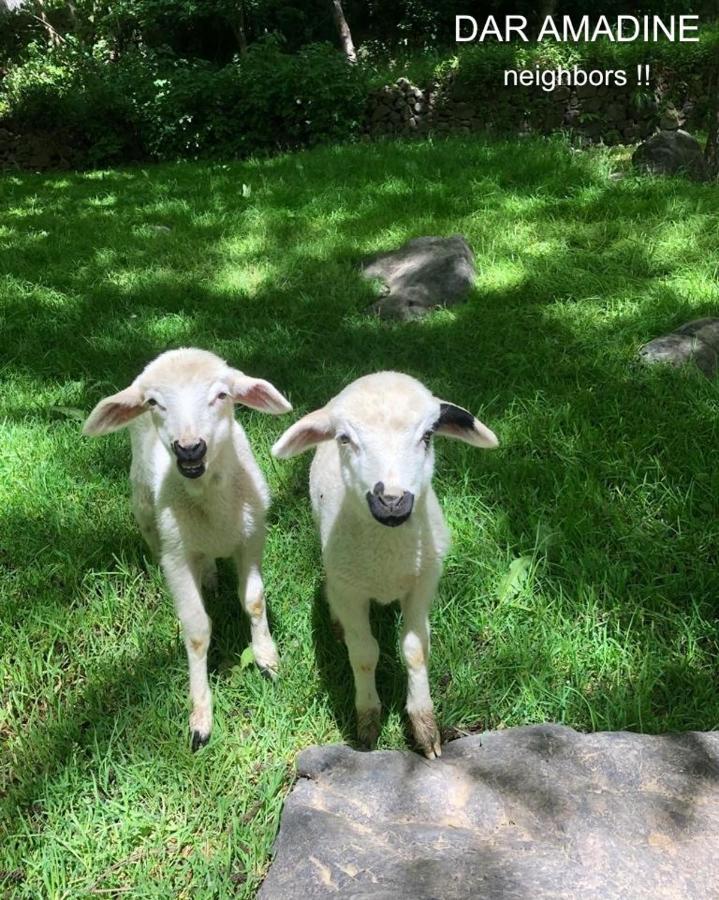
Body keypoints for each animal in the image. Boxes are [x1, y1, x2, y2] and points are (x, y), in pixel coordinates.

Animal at [81, 348, 290, 748]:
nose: (189, 449)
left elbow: (254, 600)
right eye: (153, 402)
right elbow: (195, 630)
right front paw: (200, 717)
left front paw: (268, 660)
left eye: (222, 395)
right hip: (144, 505)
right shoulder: (176, 557)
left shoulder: (253, 537)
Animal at [272, 372, 498, 760]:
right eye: (345, 438)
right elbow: (364, 653)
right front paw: (367, 724)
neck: (386, 559)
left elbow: (415, 650)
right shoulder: (350, 591)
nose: (391, 501)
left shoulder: (423, 584)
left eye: (427, 436)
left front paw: (425, 727)